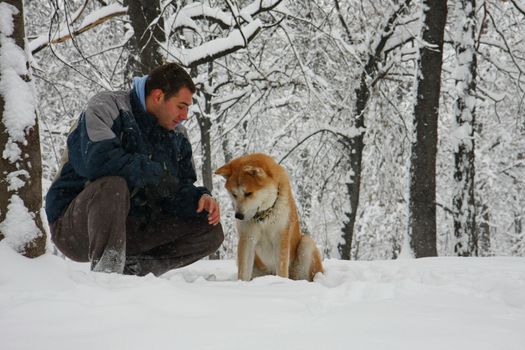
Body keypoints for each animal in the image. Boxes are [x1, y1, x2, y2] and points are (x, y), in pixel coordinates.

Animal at [214, 153, 322, 282]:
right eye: (234, 194)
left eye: (248, 193)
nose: (238, 215)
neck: (263, 218)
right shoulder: (247, 237)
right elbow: (243, 271)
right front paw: (241, 283)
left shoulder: (280, 236)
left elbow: (281, 268)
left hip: (306, 244)